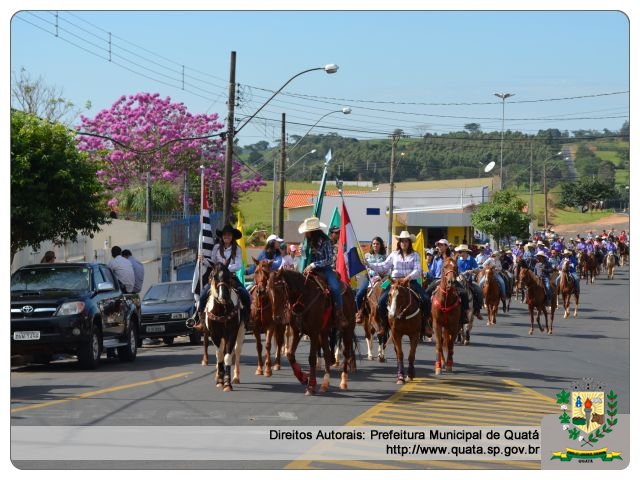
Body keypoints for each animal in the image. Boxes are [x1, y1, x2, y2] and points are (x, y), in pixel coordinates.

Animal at [204, 264, 246, 392]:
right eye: (214, 276)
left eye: (228, 276)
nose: (224, 296)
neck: (222, 310)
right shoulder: (215, 335)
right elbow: (219, 356)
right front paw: (220, 381)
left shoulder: (232, 334)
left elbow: (227, 357)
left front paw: (227, 383)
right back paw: (218, 375)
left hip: (241, 331)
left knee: (237, 351)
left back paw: (236, 377)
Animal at [264, 268, 356, 396]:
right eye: (268, 291)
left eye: (279, 289)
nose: (277, 318)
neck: (304, 297)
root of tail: (349, 290)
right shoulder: (297, 331)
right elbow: (290, 354)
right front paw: (303, 378)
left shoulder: (313, 333)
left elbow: (312, 358)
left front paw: (311, 386)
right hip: (324, 331)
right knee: (327, 353)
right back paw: (325, 384)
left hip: (348, 328)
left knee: (346, 352)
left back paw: (343, 382)